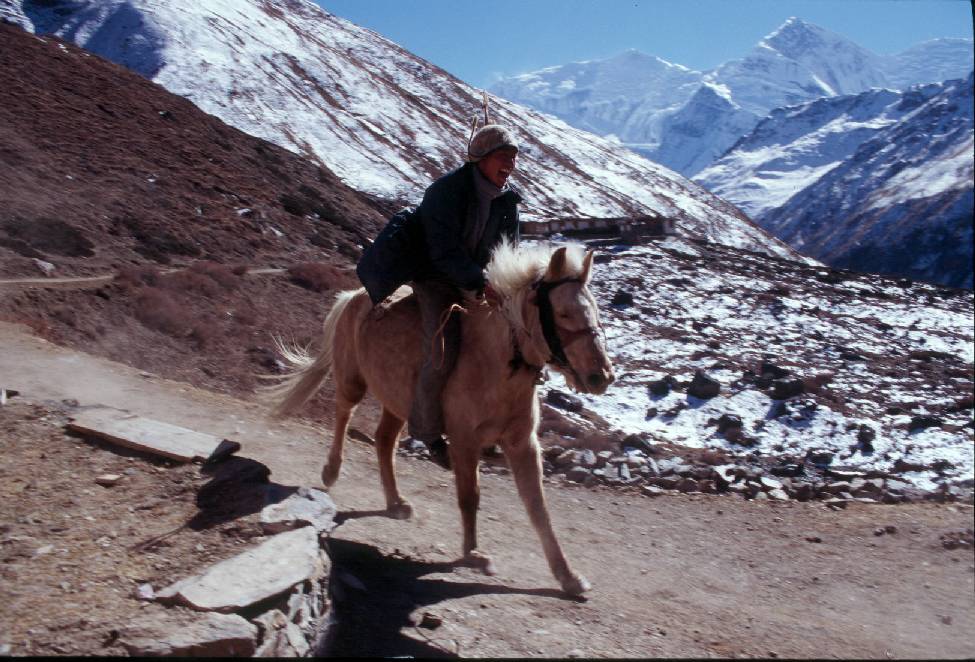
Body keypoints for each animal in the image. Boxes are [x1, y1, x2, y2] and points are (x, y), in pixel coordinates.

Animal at [267, 240, 614, 595]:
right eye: (563, 313)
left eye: (595, 310)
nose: (601, 377)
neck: (496, 363)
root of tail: (352, 296)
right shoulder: (465, 442)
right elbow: (469, 497)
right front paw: (473, 554)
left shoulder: (522, 444)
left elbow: (538, 507)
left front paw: (568, 577)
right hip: (352, 381)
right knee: (343, 414)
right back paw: (331, 471)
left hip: (397, 404)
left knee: (384, 441)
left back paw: (396, 503)